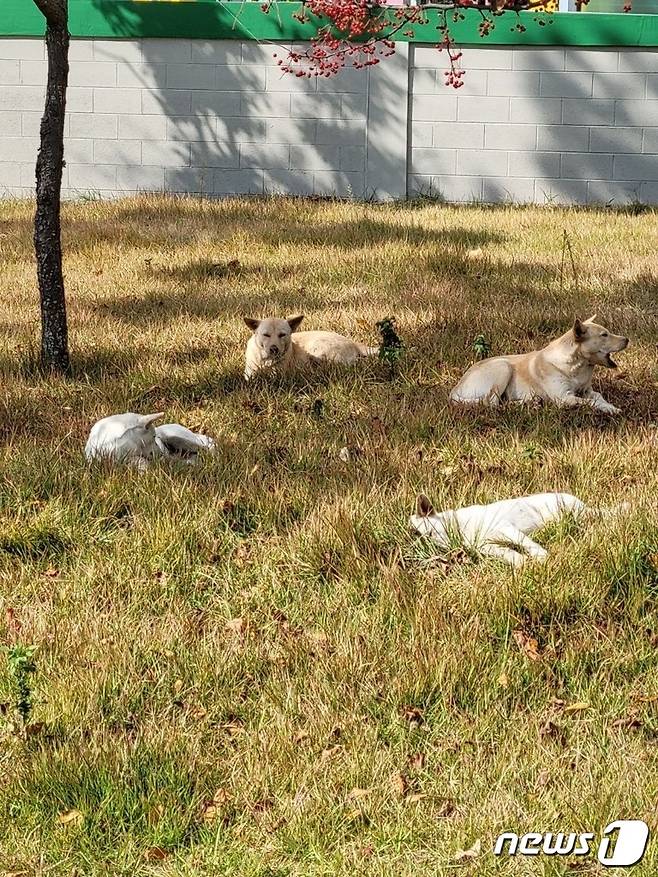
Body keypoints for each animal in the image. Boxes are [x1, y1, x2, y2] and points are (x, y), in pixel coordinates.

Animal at [242, 316, 376, 382]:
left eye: (282, 335)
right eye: (266, 335)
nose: (274, 349)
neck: (266, 361)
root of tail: (353, 343)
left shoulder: (278, 374)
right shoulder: (249, 373)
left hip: (318, 349)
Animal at [408, 490, 624, 564]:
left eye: (430, 533)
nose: (432, 552)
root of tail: (585, 507)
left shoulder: (506, 527)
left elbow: (527, 544)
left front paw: (542, 558)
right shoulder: (490, 547)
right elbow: (510, 555)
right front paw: (523, 564)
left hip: (571, 513)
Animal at [448, 314, 628, 414]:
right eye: (604, 335)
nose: (627, 339)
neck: (577, 366)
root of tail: (455, 389)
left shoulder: (587, 391)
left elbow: (598, 397)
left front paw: (611, 407)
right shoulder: (564, 397)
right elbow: (590, 402)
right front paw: (607, 409)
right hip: (503, 367)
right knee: (491, 403)